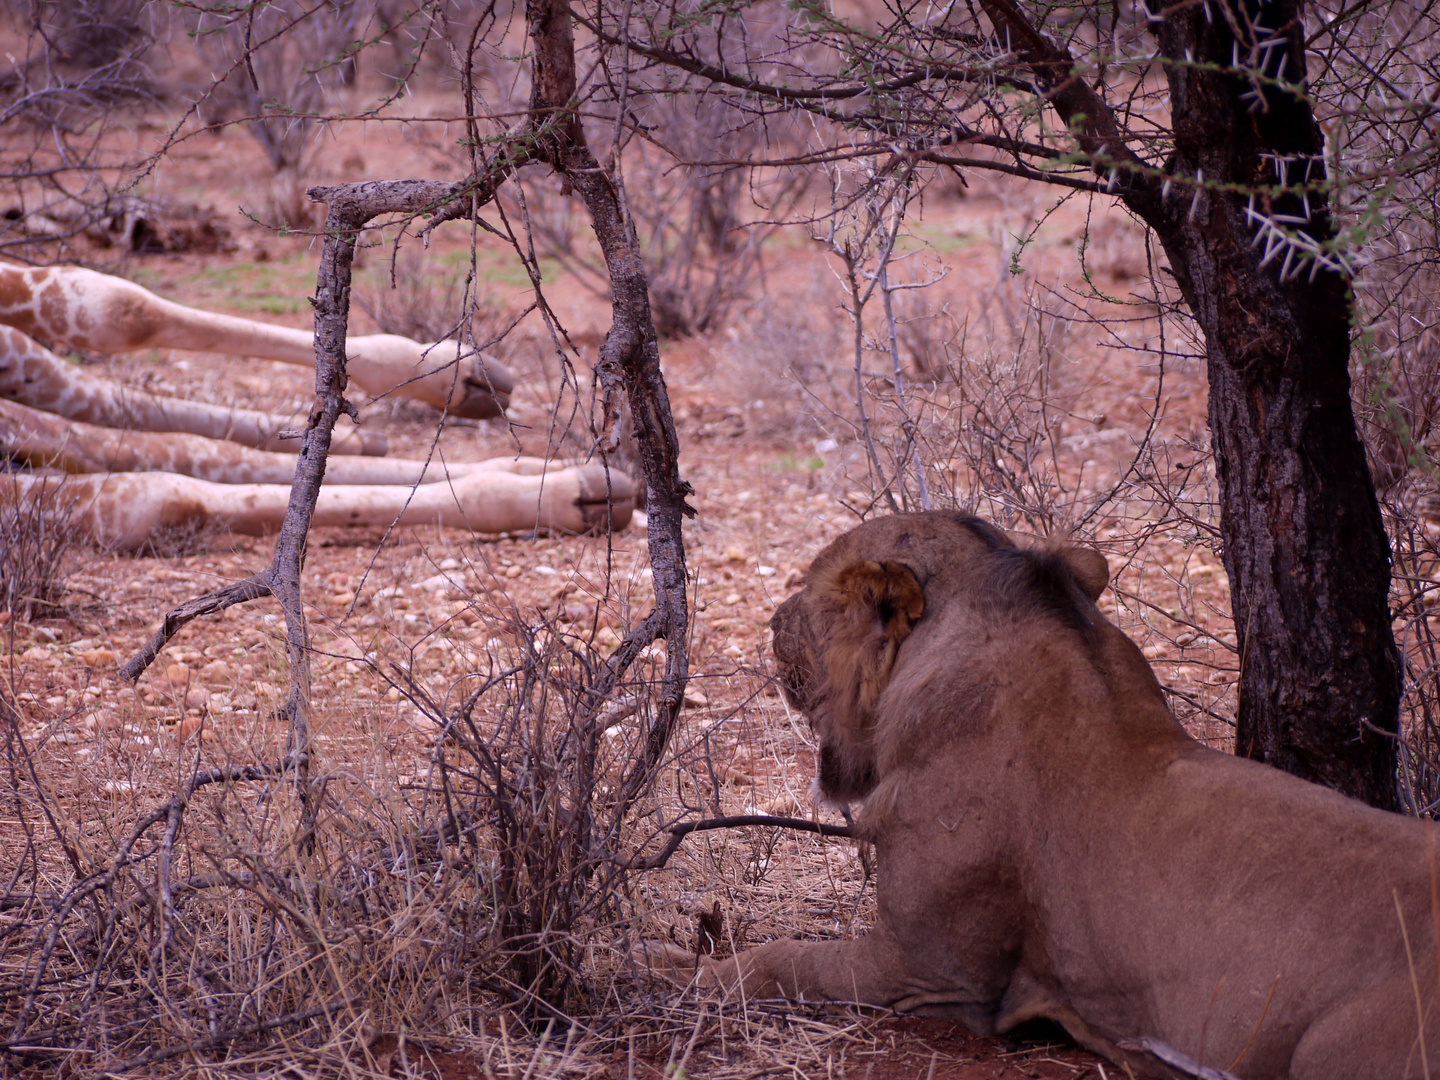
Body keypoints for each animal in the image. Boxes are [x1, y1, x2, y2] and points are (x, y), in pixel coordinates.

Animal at [648, 515, 1440, 1080]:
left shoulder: (929, 972)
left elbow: (777, 959)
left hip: (1335, 1046)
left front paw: (658, 967)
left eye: (811, 591)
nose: (772, 620)